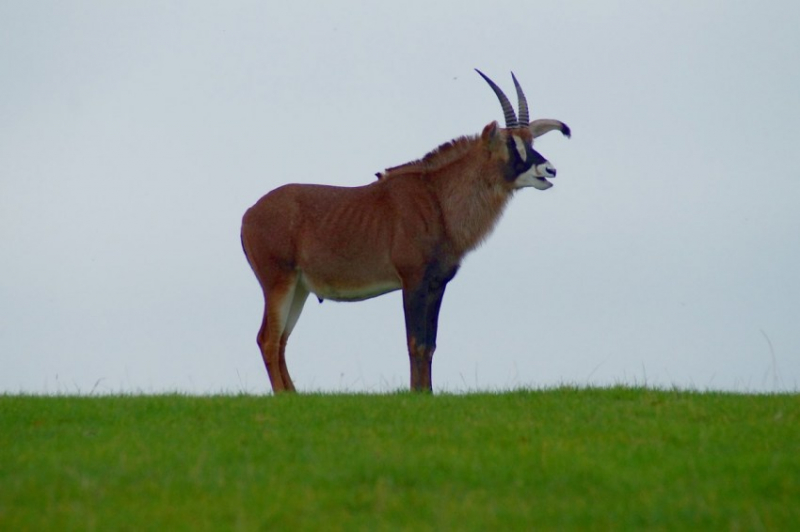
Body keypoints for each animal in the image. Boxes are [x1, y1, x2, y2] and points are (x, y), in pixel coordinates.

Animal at [241, 69, 572, 390]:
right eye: (509, 144)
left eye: (531, 142)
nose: (549, 170)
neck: (438, 197)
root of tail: (248, 215)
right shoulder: (412, 281)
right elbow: (415, 342)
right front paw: (416, 393)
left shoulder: (437, 284)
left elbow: (430, 345)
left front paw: (427, 393)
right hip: (278, 282)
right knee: (269, 340)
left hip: (299, 288)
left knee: (280, 341)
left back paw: (293, 396)